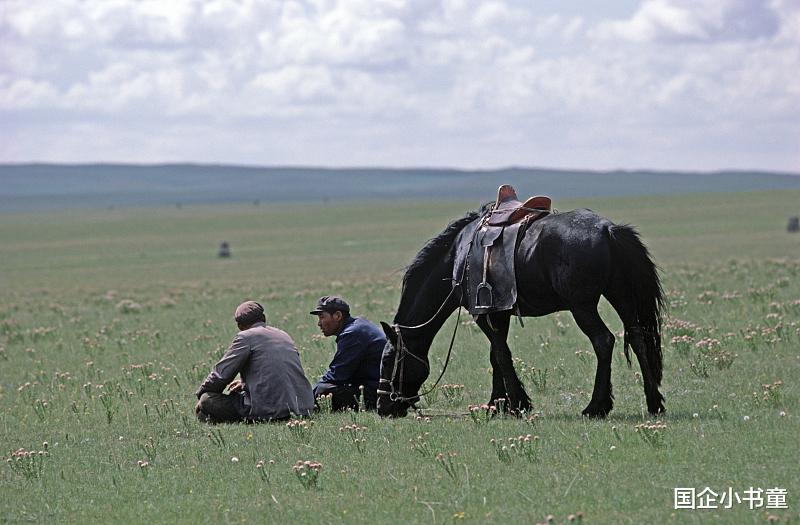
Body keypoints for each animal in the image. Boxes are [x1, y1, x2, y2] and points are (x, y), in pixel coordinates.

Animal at [378, 205, 664, 418]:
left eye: (388, 360)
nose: (383, 407)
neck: (458, 258)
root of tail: (608, 230)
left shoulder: (483, 315)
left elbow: (501, 355)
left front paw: (516, 404)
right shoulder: (498, 313)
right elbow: (496, 356)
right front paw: (497, 404)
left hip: (582, 306)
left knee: (603, 341)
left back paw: (596, 407)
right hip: (621, 297)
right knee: (637, 337)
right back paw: (654, 402)